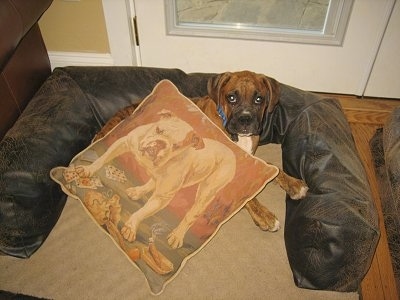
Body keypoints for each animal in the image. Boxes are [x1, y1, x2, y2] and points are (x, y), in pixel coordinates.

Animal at [95, 71, 308, 233]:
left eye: (259, 99)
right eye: (231, 97)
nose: (246, 120)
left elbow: (273, 167)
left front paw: (294, 184)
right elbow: (247, 195)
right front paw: (264, 215)